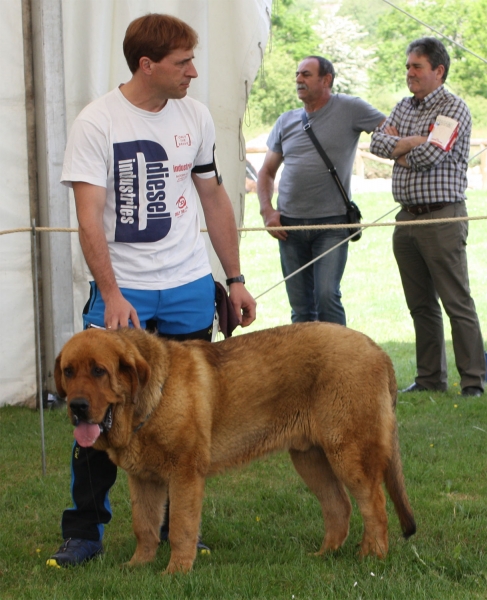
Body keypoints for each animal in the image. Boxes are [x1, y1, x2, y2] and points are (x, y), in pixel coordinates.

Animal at [56, 322, 416, 576]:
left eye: (99, 371)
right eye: (68, 372)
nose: (77, 407)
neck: (150, 401)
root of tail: (378, 350)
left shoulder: (185, 474)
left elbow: (180, 527)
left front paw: (176, 572)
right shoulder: (144, 480)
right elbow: (144, 526)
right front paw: (138, 566)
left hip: (350, 454)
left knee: (375, 505)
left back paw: (371, 557)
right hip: (311, 458)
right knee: (339, 506)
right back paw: (324, 555)